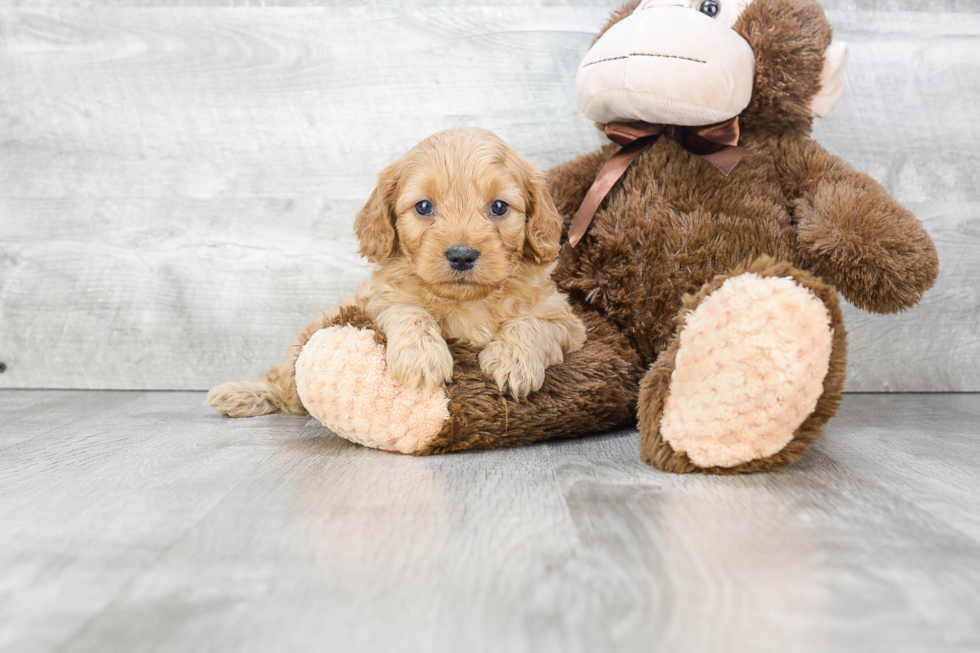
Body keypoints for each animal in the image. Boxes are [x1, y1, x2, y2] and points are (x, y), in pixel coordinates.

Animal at [210, 126, 584, 418]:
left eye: (499, 207)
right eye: (424, 206)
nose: (462, 255)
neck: (466, 300)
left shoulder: (565, 320)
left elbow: (531, 323)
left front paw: (514, 361)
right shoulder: (381, 301)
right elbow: (410, 312)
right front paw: (423, 359)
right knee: (283, 384)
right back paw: (242, 394)